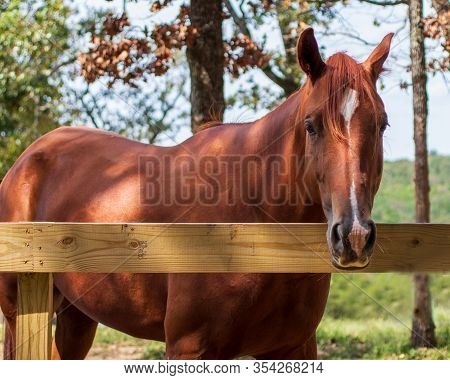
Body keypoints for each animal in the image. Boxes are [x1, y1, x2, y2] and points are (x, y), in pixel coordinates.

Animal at [0, 29, 392, 360]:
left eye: (382, 125)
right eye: (311, 125)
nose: (354, 236)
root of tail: (25, 162)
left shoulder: (294, 347)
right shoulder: (189, 348)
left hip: (77, 315)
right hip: (21, 314)